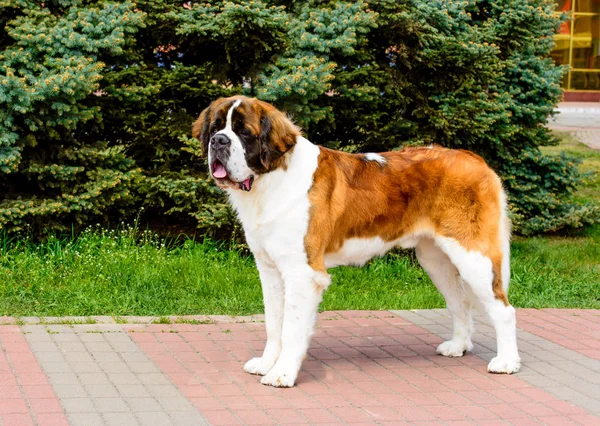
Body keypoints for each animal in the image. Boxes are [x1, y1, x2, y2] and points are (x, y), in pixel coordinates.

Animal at [193, 95, 520, 388]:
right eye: (216, 128)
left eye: (244, 132)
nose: (218, 142)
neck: (270, 180)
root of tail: (476, 160)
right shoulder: (270, 270)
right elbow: (274, 323)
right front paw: (266, 363)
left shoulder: (302, 274)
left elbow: (292, 328)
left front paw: (282, 374)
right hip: (435, 259)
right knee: (459, 301)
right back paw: (458, 346)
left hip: (473, 256)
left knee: (503, 310)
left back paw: (506, 362)